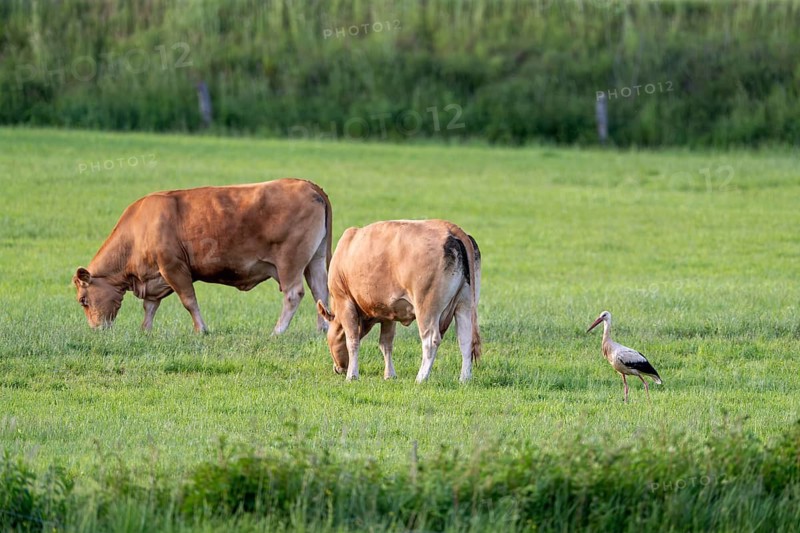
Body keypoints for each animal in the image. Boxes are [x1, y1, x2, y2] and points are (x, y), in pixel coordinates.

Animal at [73, 179, 332, 334]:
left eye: (83, 300)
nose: (96, 329)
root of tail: (309, 185)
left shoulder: (173, 266)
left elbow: (189, 300)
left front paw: (202, 330)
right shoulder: (155, 276)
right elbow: (150, 306)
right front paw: (145, 330)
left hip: (290, 261)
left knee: (293, 294)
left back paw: (277, 332)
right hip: (315, 261)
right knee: (320, 291)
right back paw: (322, 329)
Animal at [316, 219, 481, 383]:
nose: (338, 369)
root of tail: (448, 227)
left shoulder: (345, 302)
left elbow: (352, 340)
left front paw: (352, 375)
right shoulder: (388, 312)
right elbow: (386, 344)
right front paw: (390, 374)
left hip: (426, 307)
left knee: (430, 340)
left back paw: (421, 378)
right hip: (465, 305)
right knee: (465, 339)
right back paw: (464, 378)